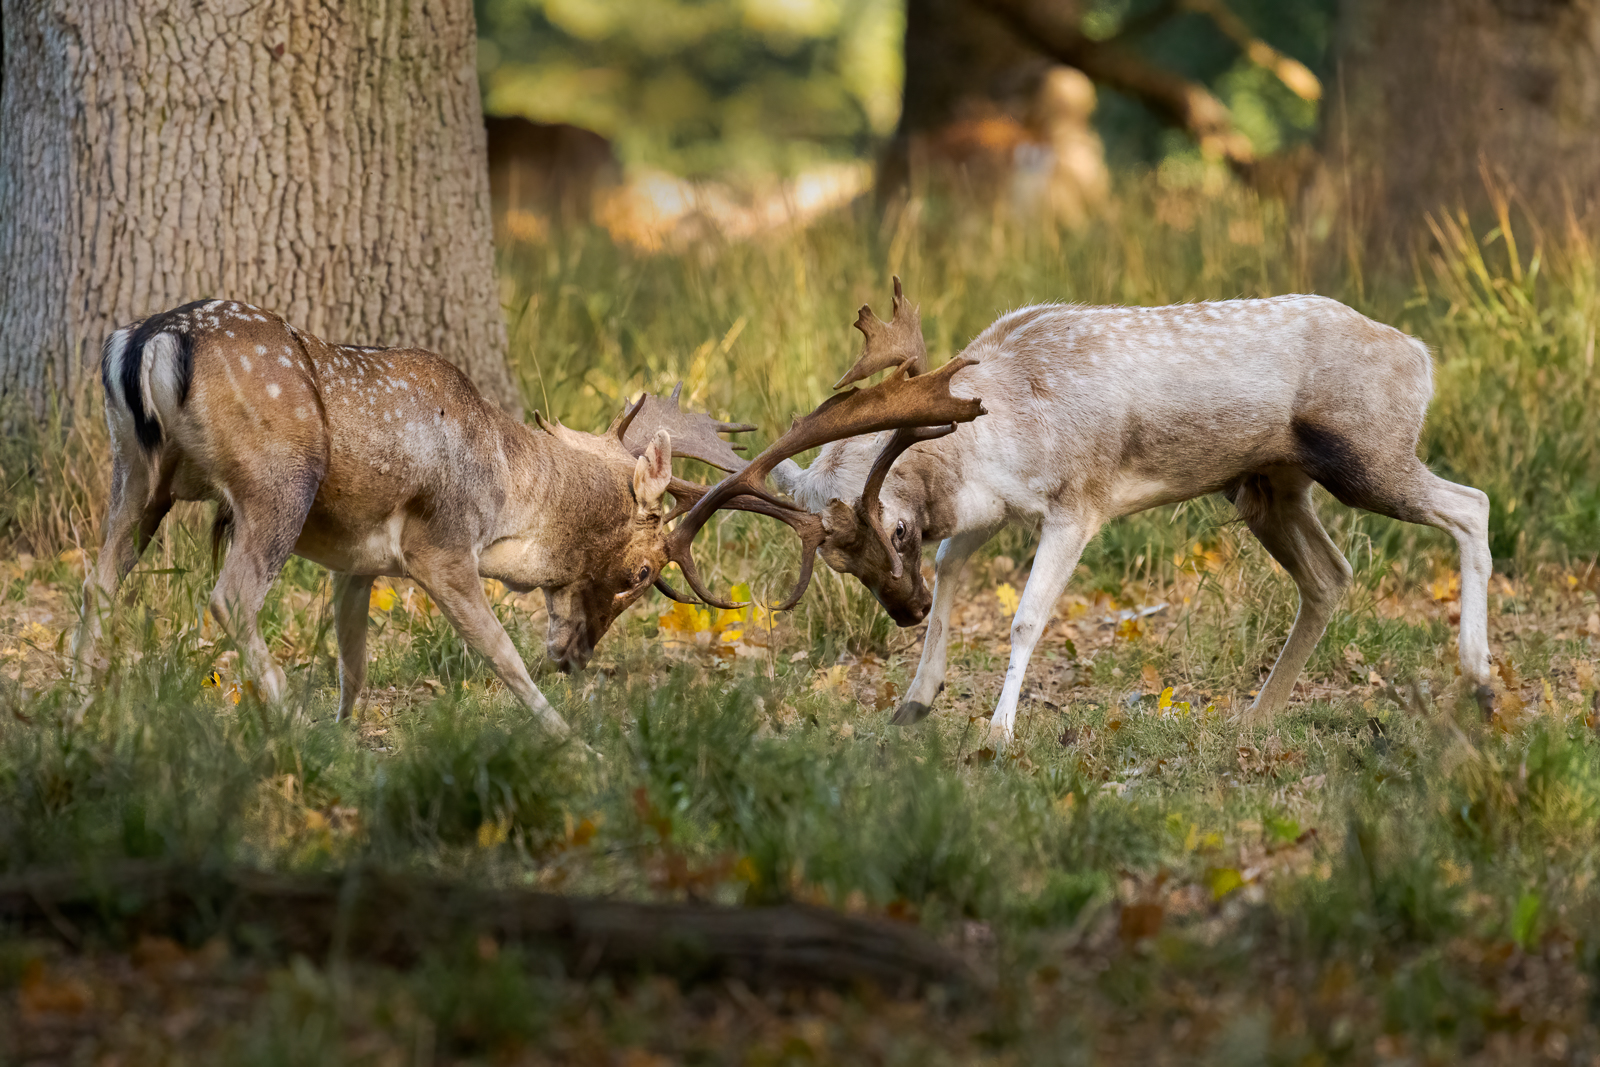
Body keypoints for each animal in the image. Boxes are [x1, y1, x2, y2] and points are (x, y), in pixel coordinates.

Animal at [74, 299, 986, 732]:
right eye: (643, 571)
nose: (576, 655)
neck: (508, 487)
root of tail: (146, 341)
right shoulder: (440, 543)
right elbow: (499, 654)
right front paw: (568, 738)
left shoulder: (361, 560)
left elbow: (353, 661)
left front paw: (343, 732)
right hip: (276, 485)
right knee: (228, 596)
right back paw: (281, 720)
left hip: (137, 476)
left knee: (100, 581)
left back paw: (76, 710)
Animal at [729, 280, 1494, 744]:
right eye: (838, 562)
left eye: (893, 527)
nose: (901, 611)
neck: (992, 425)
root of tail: (1422, 356)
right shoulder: (990, 513)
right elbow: (950, 577)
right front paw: (912, 705)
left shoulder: (1079, 500)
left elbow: (1025, 616)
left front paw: (998, 732)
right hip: (1268, 488)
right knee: (1331, 574)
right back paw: (1253, 717)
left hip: (1368, 455)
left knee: (1473, 504)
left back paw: (1481, 682)